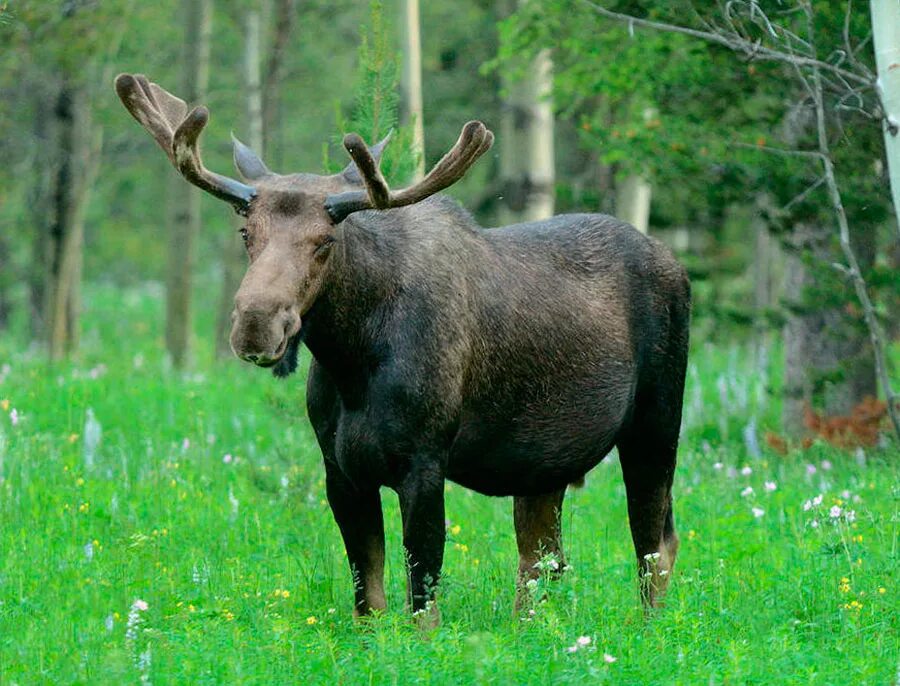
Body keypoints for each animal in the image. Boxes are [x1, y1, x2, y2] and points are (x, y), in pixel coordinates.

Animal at [112, 72, 688, 628]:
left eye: (325, 241)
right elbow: (367, 600)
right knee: (542, 558)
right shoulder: (340, 470)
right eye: (245, 231)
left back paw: (650, 631)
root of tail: (675, 264)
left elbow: (422, 601)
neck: (352, 361)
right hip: (542, 462)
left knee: (655, 542)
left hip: (656, 423)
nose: (256, 324)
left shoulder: (424, 461)